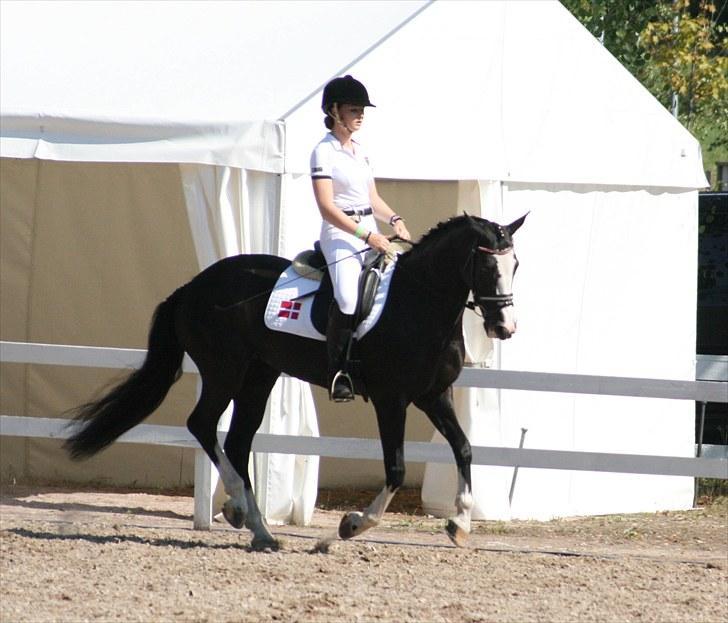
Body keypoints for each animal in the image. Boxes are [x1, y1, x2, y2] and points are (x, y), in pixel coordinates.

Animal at [65, 212, 527, 550]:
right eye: (488, 264)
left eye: (516, 265)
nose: (504, 328)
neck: (418, 304)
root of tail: (191, 286)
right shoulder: (390, 400)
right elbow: (395, 469)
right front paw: (350, 526)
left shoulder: (434, 395)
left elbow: (464, 448)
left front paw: (460, 523)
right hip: (224, 371)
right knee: (203, 424)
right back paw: (239, 507)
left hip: (259, 375)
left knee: (238, 440)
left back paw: (259, 529)